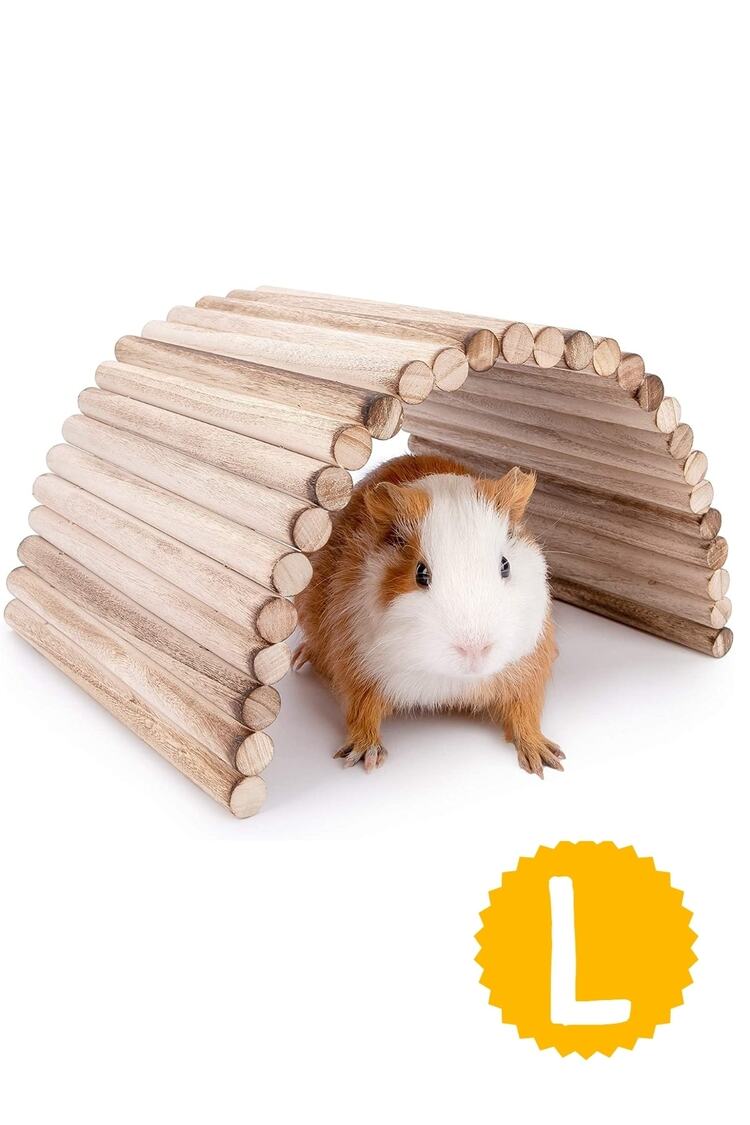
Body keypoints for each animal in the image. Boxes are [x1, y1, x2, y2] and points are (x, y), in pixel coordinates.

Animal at [293, 453, 561, 778]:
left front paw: (545, 759)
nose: (474, 651)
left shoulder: (530, 666)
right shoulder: (356, 665)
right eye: (421, 573)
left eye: (505, 565)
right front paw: (365, 756)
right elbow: (361, 710)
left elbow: (525, 712)